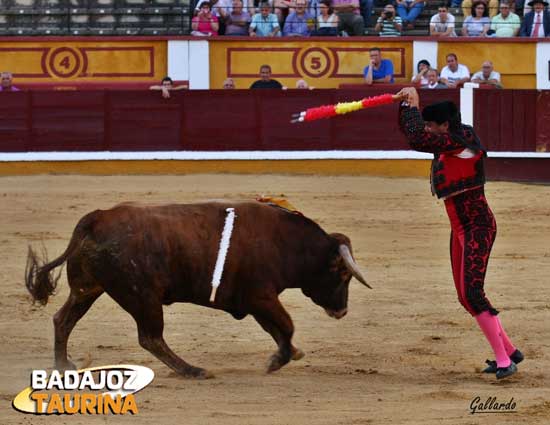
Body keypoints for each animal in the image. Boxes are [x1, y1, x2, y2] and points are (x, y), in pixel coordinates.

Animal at [25, 201, 370, 378]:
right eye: (342, 273)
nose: (342, 311)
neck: (286, 242)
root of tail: (97, 218)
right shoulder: (261, 295)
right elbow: (286, 325)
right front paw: (277, 361)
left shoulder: (255, 301)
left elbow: (277, 329)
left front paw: (289, 353)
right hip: (143, 296)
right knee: (151, 337)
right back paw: (192, 370)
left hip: (87, 288)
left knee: (63, 320)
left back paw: (63, 366)